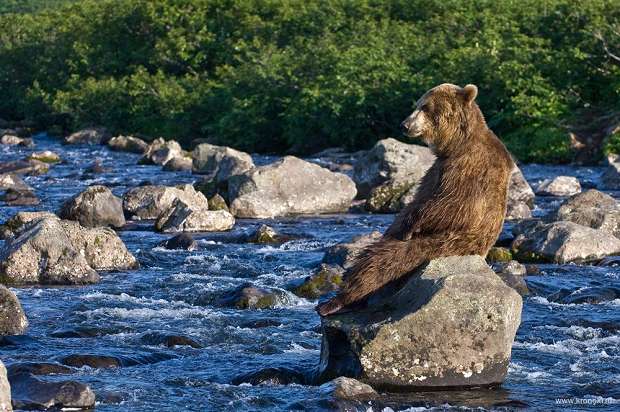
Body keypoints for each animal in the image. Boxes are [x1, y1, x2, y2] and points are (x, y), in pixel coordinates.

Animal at [318, 83, 516, 316]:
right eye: (418, 104)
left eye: (425, 106)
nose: (404, 125)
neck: (456, 144)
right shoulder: (437, 169)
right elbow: (417, 200)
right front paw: (400, 225)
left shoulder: (469, 168)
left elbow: (453, 205)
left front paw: (410, 225)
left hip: (444, 244)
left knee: (384, 260)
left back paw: (337, 301)